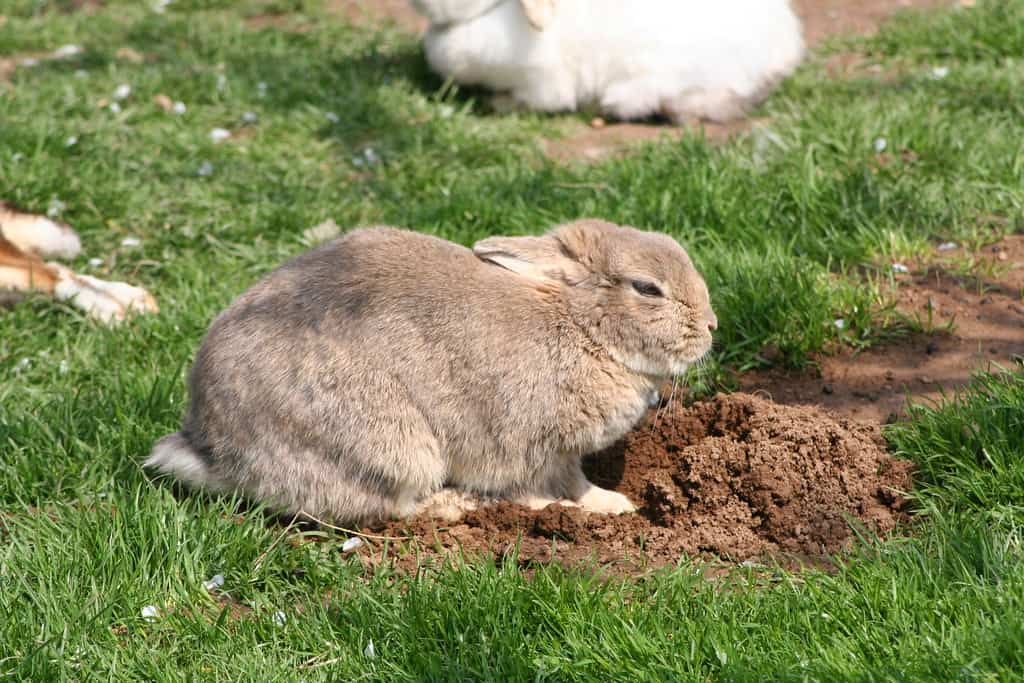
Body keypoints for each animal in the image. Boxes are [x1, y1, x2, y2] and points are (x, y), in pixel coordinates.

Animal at [148, 219, 716, 524]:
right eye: (647, 288)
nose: (711, 326)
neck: (579, 325)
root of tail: (210, 446)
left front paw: (609, 503)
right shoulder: (530, 446)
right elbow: (546, 487)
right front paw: (592, 508)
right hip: (389, 447)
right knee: (392, 505)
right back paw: (456, 506)